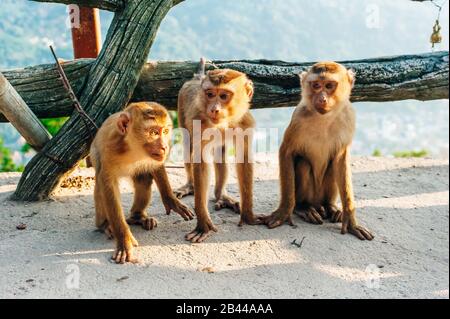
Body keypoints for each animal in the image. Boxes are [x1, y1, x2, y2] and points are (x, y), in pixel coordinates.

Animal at [92, 101, 195, 264]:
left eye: (165, 131)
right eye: (154, 132)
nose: (164, 147)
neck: (132, 147)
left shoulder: (155, 156)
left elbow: (156, 165)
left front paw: (171, 200)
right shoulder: (110, 146)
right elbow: (107, 183)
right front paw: (123, 239)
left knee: (144, 179)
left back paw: (138, 217)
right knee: (99, 185)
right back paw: (104, 225)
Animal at [175, 60, 262, 244]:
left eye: (223, 96)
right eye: (210, 94)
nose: (214, 109)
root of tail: (196, 78)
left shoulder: (245, 122)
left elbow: (244, 158)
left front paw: (248, 214)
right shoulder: (199, 121)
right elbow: (200, 161)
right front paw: (203, 225)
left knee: (220, 153)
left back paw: (221, 196)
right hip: (180, 103)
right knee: (189, 146)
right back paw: (190, 186)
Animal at [260, 62, 372, 241]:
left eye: (330, 86)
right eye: (316, 85)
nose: (322, 98)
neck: (325, 117)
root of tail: (316, 203)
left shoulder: (349, 116)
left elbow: (341, 158)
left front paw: (351, 220)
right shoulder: (298, 117)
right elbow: (287, 152)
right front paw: (284, 211)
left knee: (333, 166)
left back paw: (331, 207)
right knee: (303, 164)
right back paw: (303, 207)